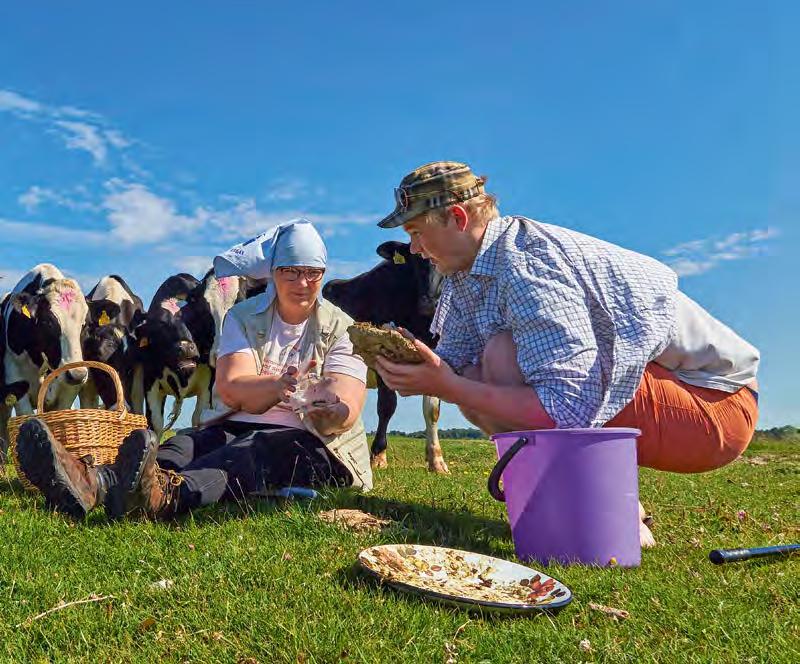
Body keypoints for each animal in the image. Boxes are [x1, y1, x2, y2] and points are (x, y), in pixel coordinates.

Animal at [131, 270, 245, 436]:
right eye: (161, 324)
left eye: (193, 319)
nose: (186, 348)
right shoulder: (151, 384)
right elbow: (155, 424)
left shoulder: (207, 388)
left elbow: (198, 419)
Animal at [324, 241, 450, 474]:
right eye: (416, 259)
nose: (430, 302)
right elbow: (387, 406)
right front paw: (378, 455)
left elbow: (432, 410)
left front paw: (436, 460)